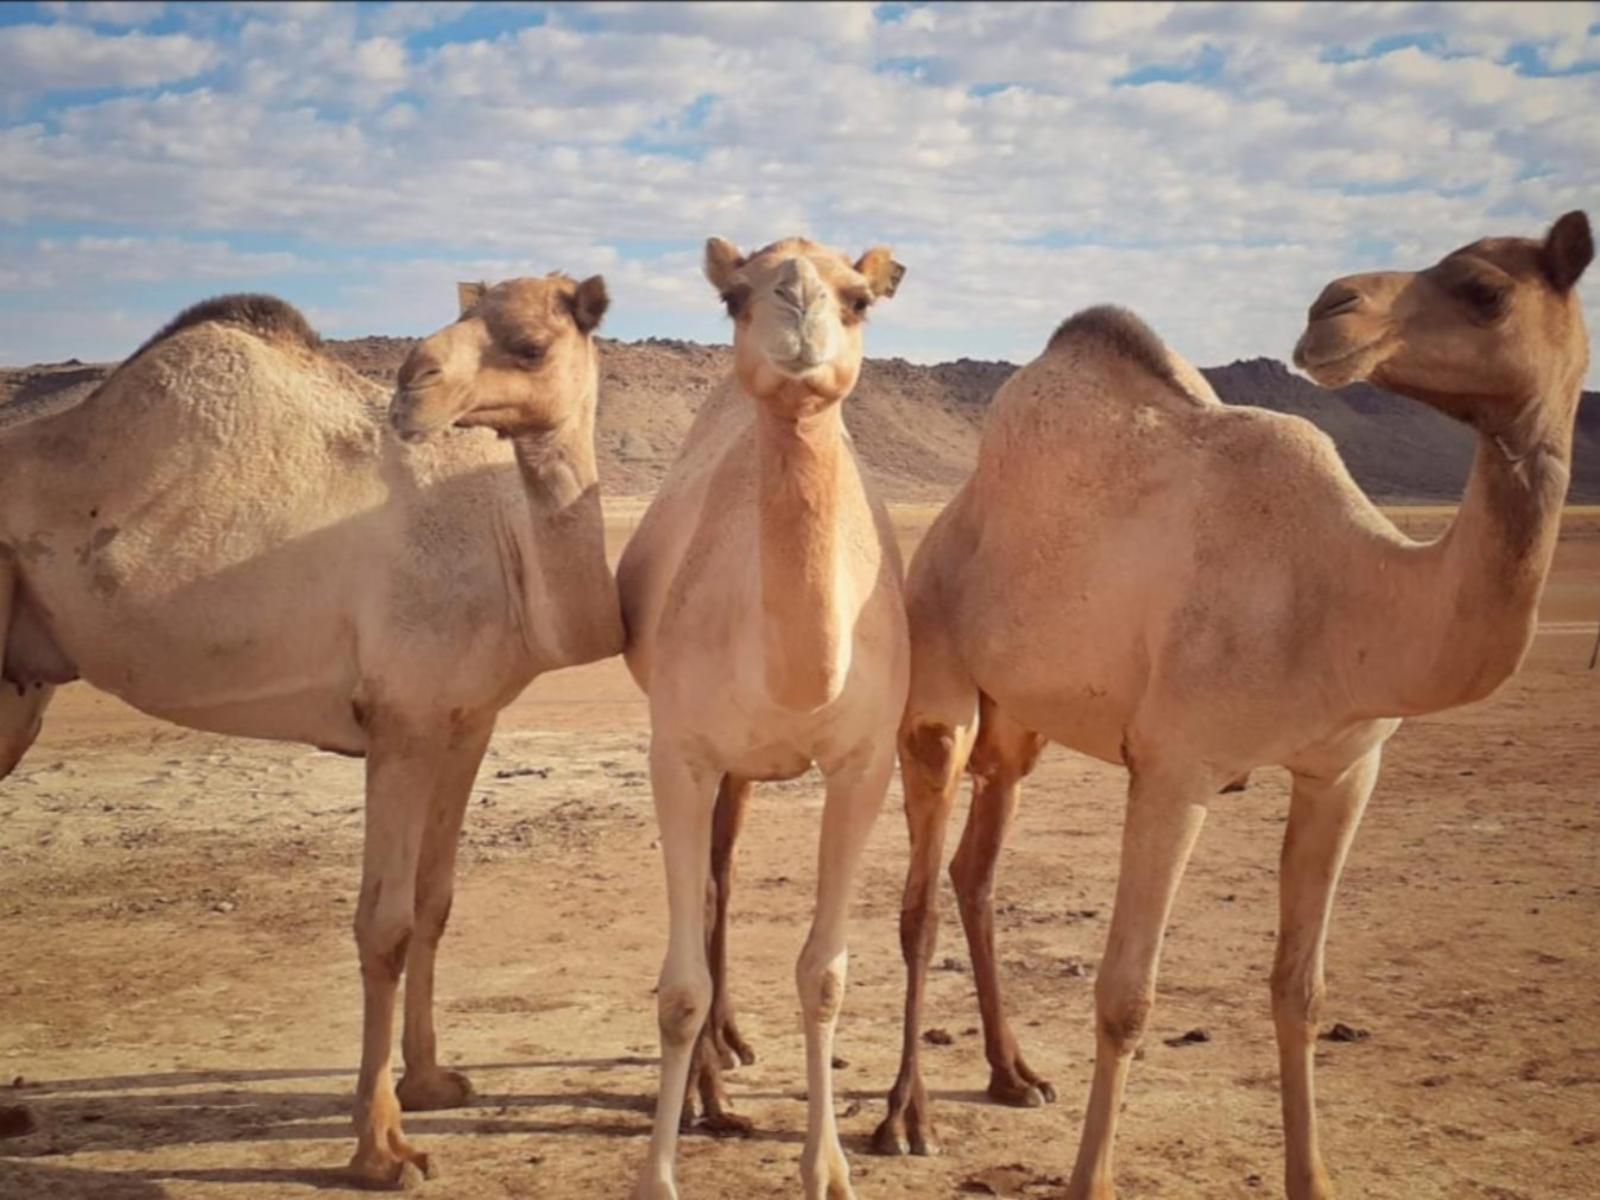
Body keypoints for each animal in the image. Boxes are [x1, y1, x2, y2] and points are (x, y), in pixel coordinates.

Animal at [0, 276, 624, 1190]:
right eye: (466, 319)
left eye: (532, 345)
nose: (413, 381)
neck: (503, 545)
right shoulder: (400, 723)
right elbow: (384, 926)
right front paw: (382, 1149)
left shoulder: (466, 722)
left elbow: (435, 903)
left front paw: (433, 1081)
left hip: (23, 678)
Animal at [617, 236, 908, 1200]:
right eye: (734, 296)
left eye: (860, 298)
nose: (800, 309)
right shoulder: (679, 753)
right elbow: (677, 992)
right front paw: (658, 1177)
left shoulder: (865, 761)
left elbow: (824, 975)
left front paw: (828, 1167)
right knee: (711, 891)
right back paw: (710, 1080)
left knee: (725, 878)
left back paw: (730, 1058)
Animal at [870, 211, 1593, 1196]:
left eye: (1484, 289)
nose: (1330, 309)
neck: (1349, 595)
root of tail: (948, 523)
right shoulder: (1176, 768)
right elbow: (1125, 997)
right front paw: (1089, 1181)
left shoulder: (1345, 770)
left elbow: (1301, 989)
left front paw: (1313, 1178)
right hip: (936, 668)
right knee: (920, 897)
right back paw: (906, 1118)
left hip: (1020, 723)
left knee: (973, 872)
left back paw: (1014, 1075)